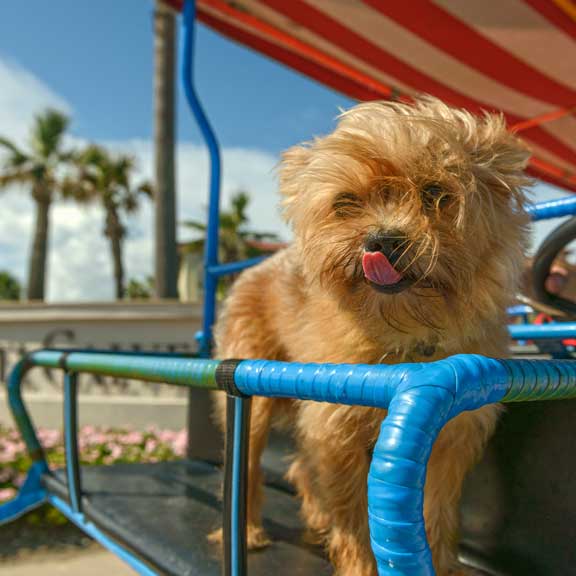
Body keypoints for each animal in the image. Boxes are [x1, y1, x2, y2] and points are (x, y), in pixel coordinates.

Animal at [213, 99, 532, 576]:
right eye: (346, 203)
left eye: (435, 192)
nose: (382, 239)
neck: (408, 338)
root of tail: (253, 269)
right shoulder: (336, 427)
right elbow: (354, 510)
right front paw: (361, 564)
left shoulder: (449, 438)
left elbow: (437, 508)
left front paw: (441, 563)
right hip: (255, 400)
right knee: (246, 463)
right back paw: (248, 531)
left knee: (302, 468)